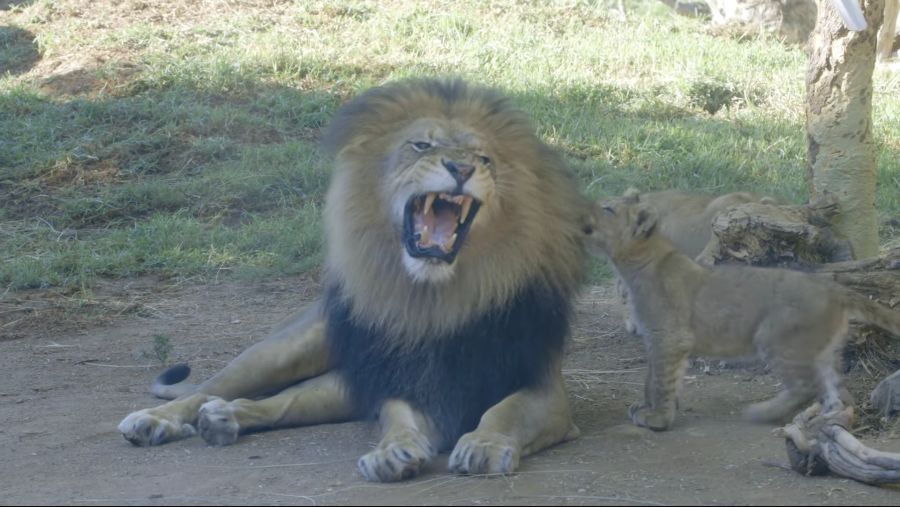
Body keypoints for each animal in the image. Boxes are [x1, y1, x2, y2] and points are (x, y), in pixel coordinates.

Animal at [116, 77, 588, 482]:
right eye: (421, 145)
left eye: (484, 158)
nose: (460, 167)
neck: (439, 297)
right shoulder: (401, 380)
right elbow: (397, 418)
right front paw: (392, 452)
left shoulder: (544, 388)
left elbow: (505, 411)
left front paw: (484, 445)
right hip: (287, 349)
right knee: (214, 387)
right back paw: (158, 420)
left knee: (282, 400)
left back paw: (223, 418)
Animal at [584, 192, 900, 430]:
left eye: (607, 209)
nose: (583, 217)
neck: (634, 265)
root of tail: (829, 288)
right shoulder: (655, 337)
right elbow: (651, 378)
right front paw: (648, 407)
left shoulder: (670, 337)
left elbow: (661, 379)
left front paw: (658, 418)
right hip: (821, 350)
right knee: (835, 389)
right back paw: (822, 421)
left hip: (776, 337)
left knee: (804, 386)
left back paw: (764, 413)